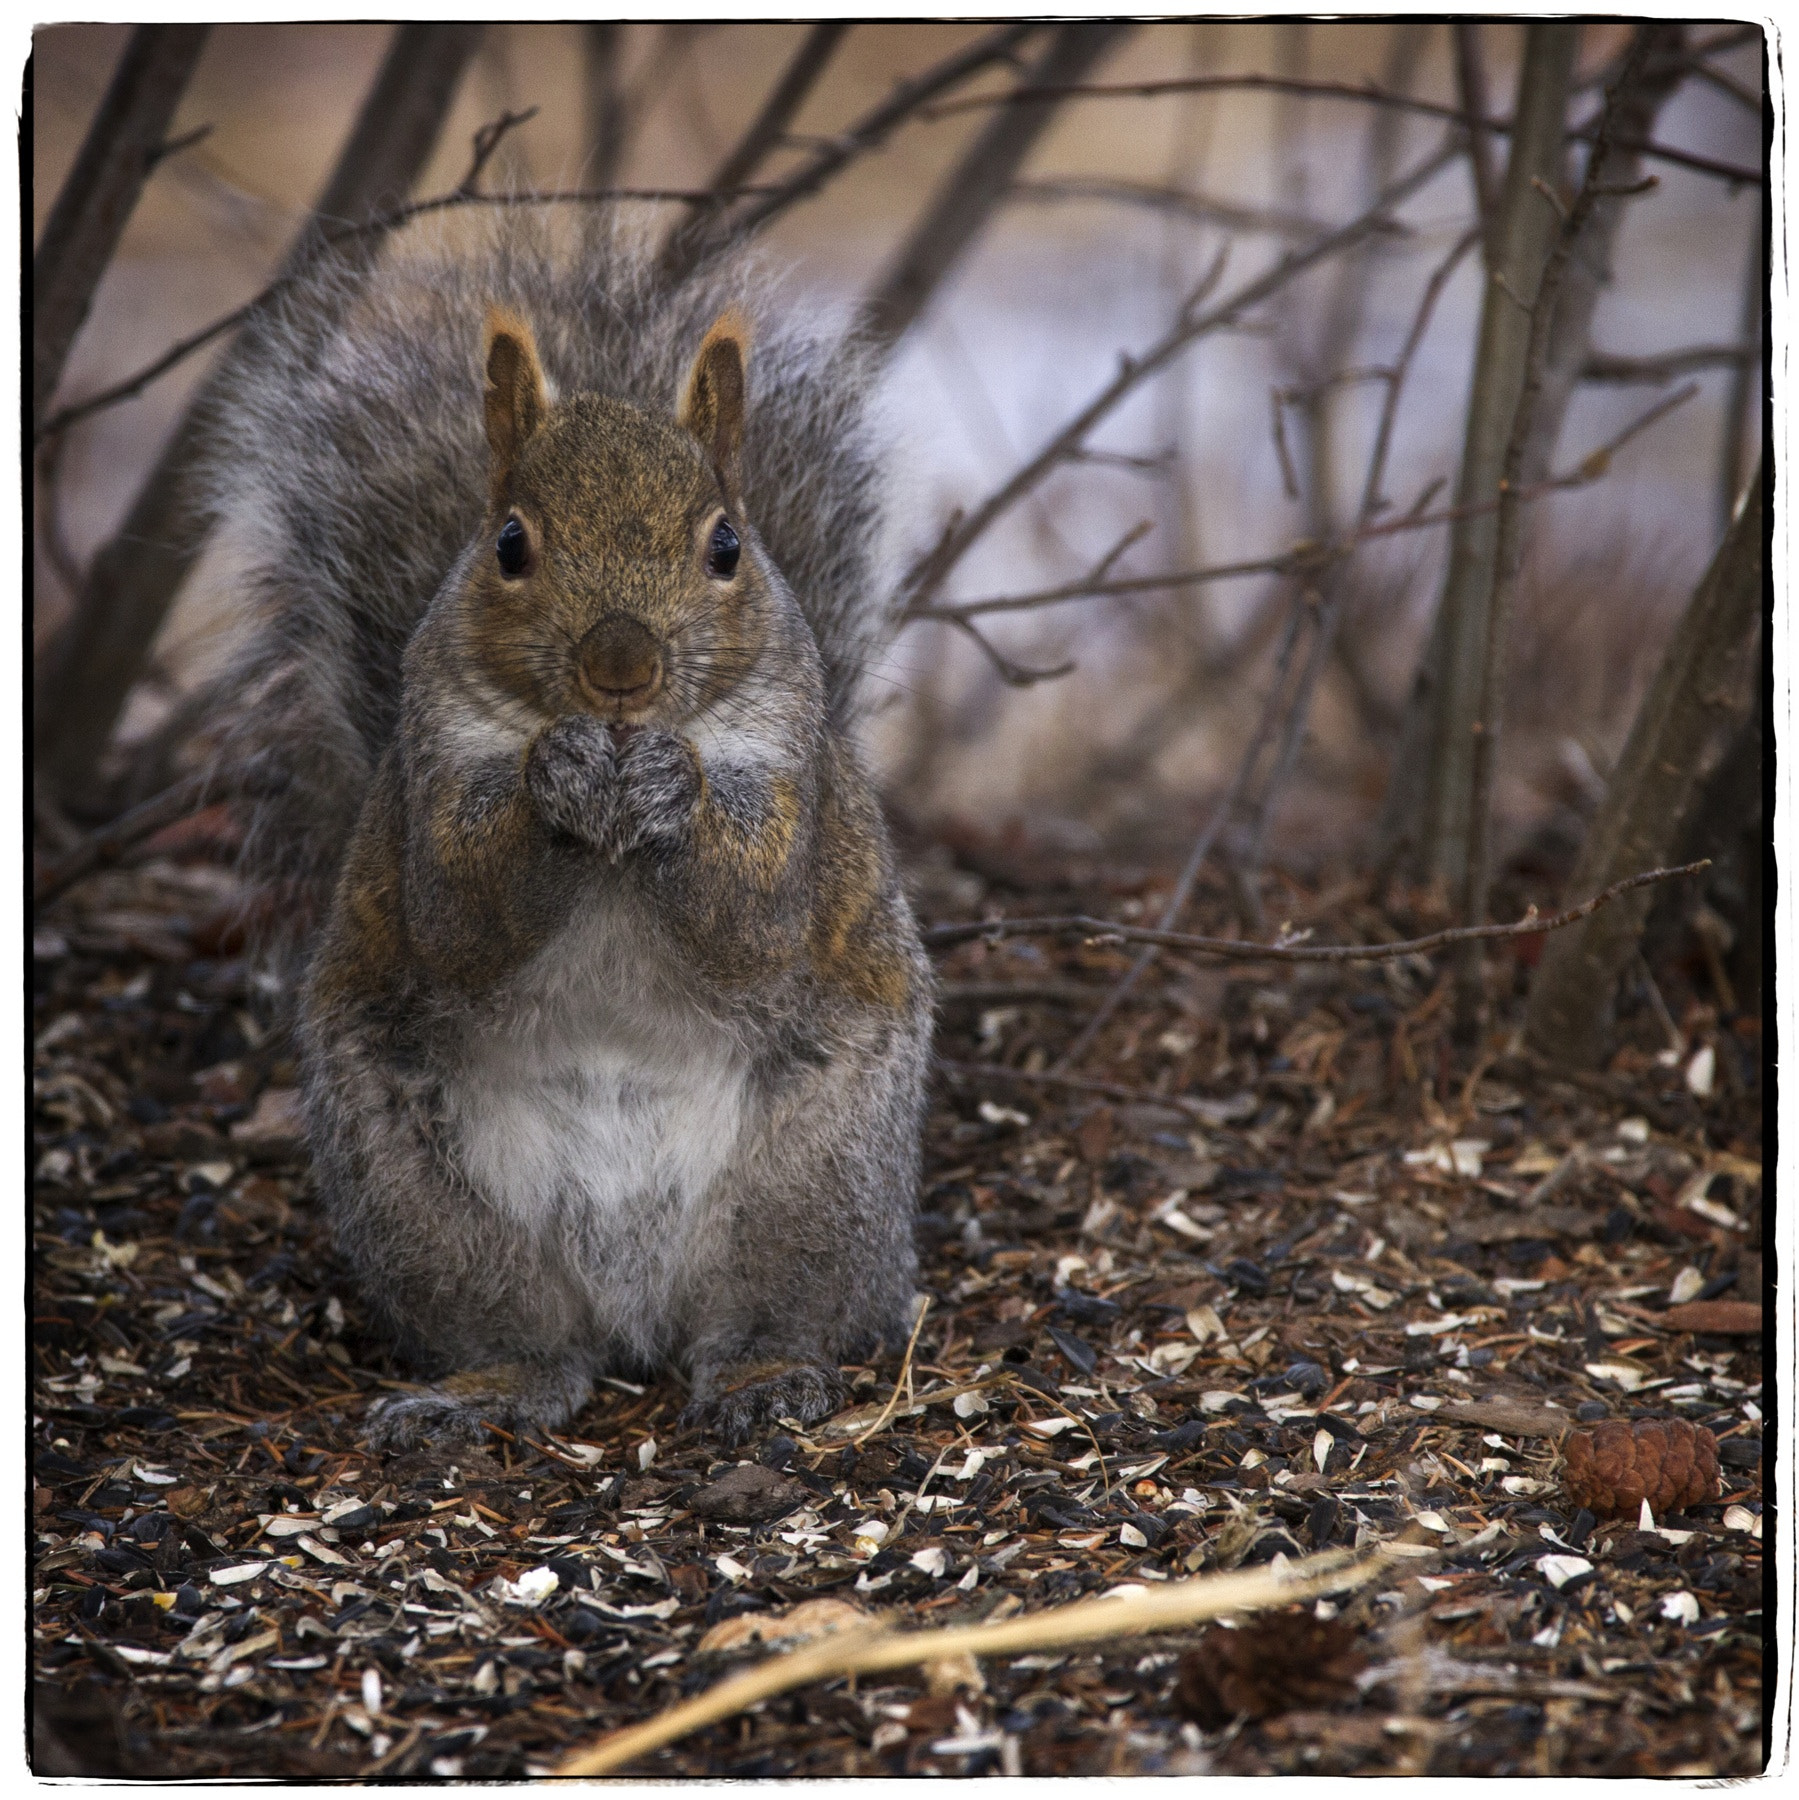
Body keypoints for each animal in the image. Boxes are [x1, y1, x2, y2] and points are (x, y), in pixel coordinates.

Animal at [202, 214, 932, 1449]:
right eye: (508, 543)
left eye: (726, 545)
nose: (619, 671)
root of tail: (635, 1309)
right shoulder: (428, 784)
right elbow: (459, 918)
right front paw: (554, 781)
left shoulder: (796, 785)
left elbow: (755, 921)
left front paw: (671, 790)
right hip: (425, 1203)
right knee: (534, 1344)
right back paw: (483, 1390)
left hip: (814, 1185)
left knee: (768, 1312)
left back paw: (760, 1373)